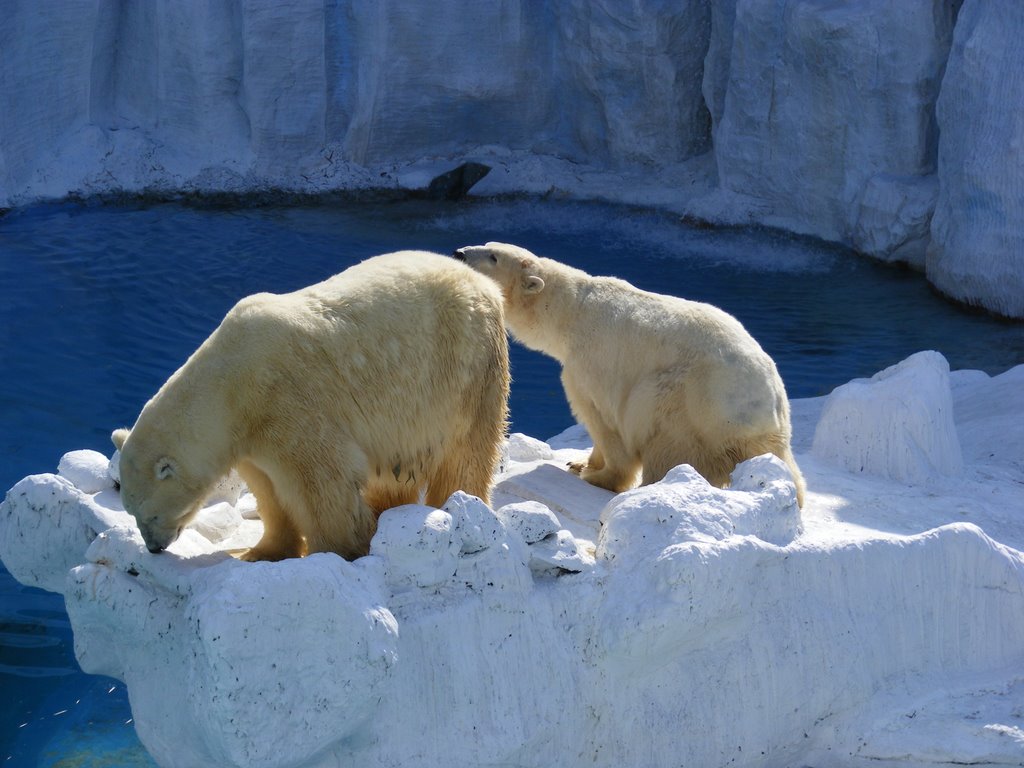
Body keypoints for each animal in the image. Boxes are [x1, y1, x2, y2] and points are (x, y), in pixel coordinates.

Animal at [113, 250, 512, 561]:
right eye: (129, 511)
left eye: (148, 514)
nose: (153, 547)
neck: (231, 381)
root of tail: (485, 285)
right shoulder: (251, 434)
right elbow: (268, 489)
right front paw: (258, 552)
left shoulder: (290, 399)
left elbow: (320, 481)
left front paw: (338, 551)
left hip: (464, 367)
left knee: (466, 451)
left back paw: (457, 502)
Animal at [452, 240, 802, 505]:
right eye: (486, 244)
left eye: (494, 256)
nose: (459, 253)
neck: (572, 311)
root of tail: (770, 405)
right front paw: (580, 462)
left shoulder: (595, 362)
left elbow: (602, 418)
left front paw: (599, 476)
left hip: (695, 399)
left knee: (663, 427)